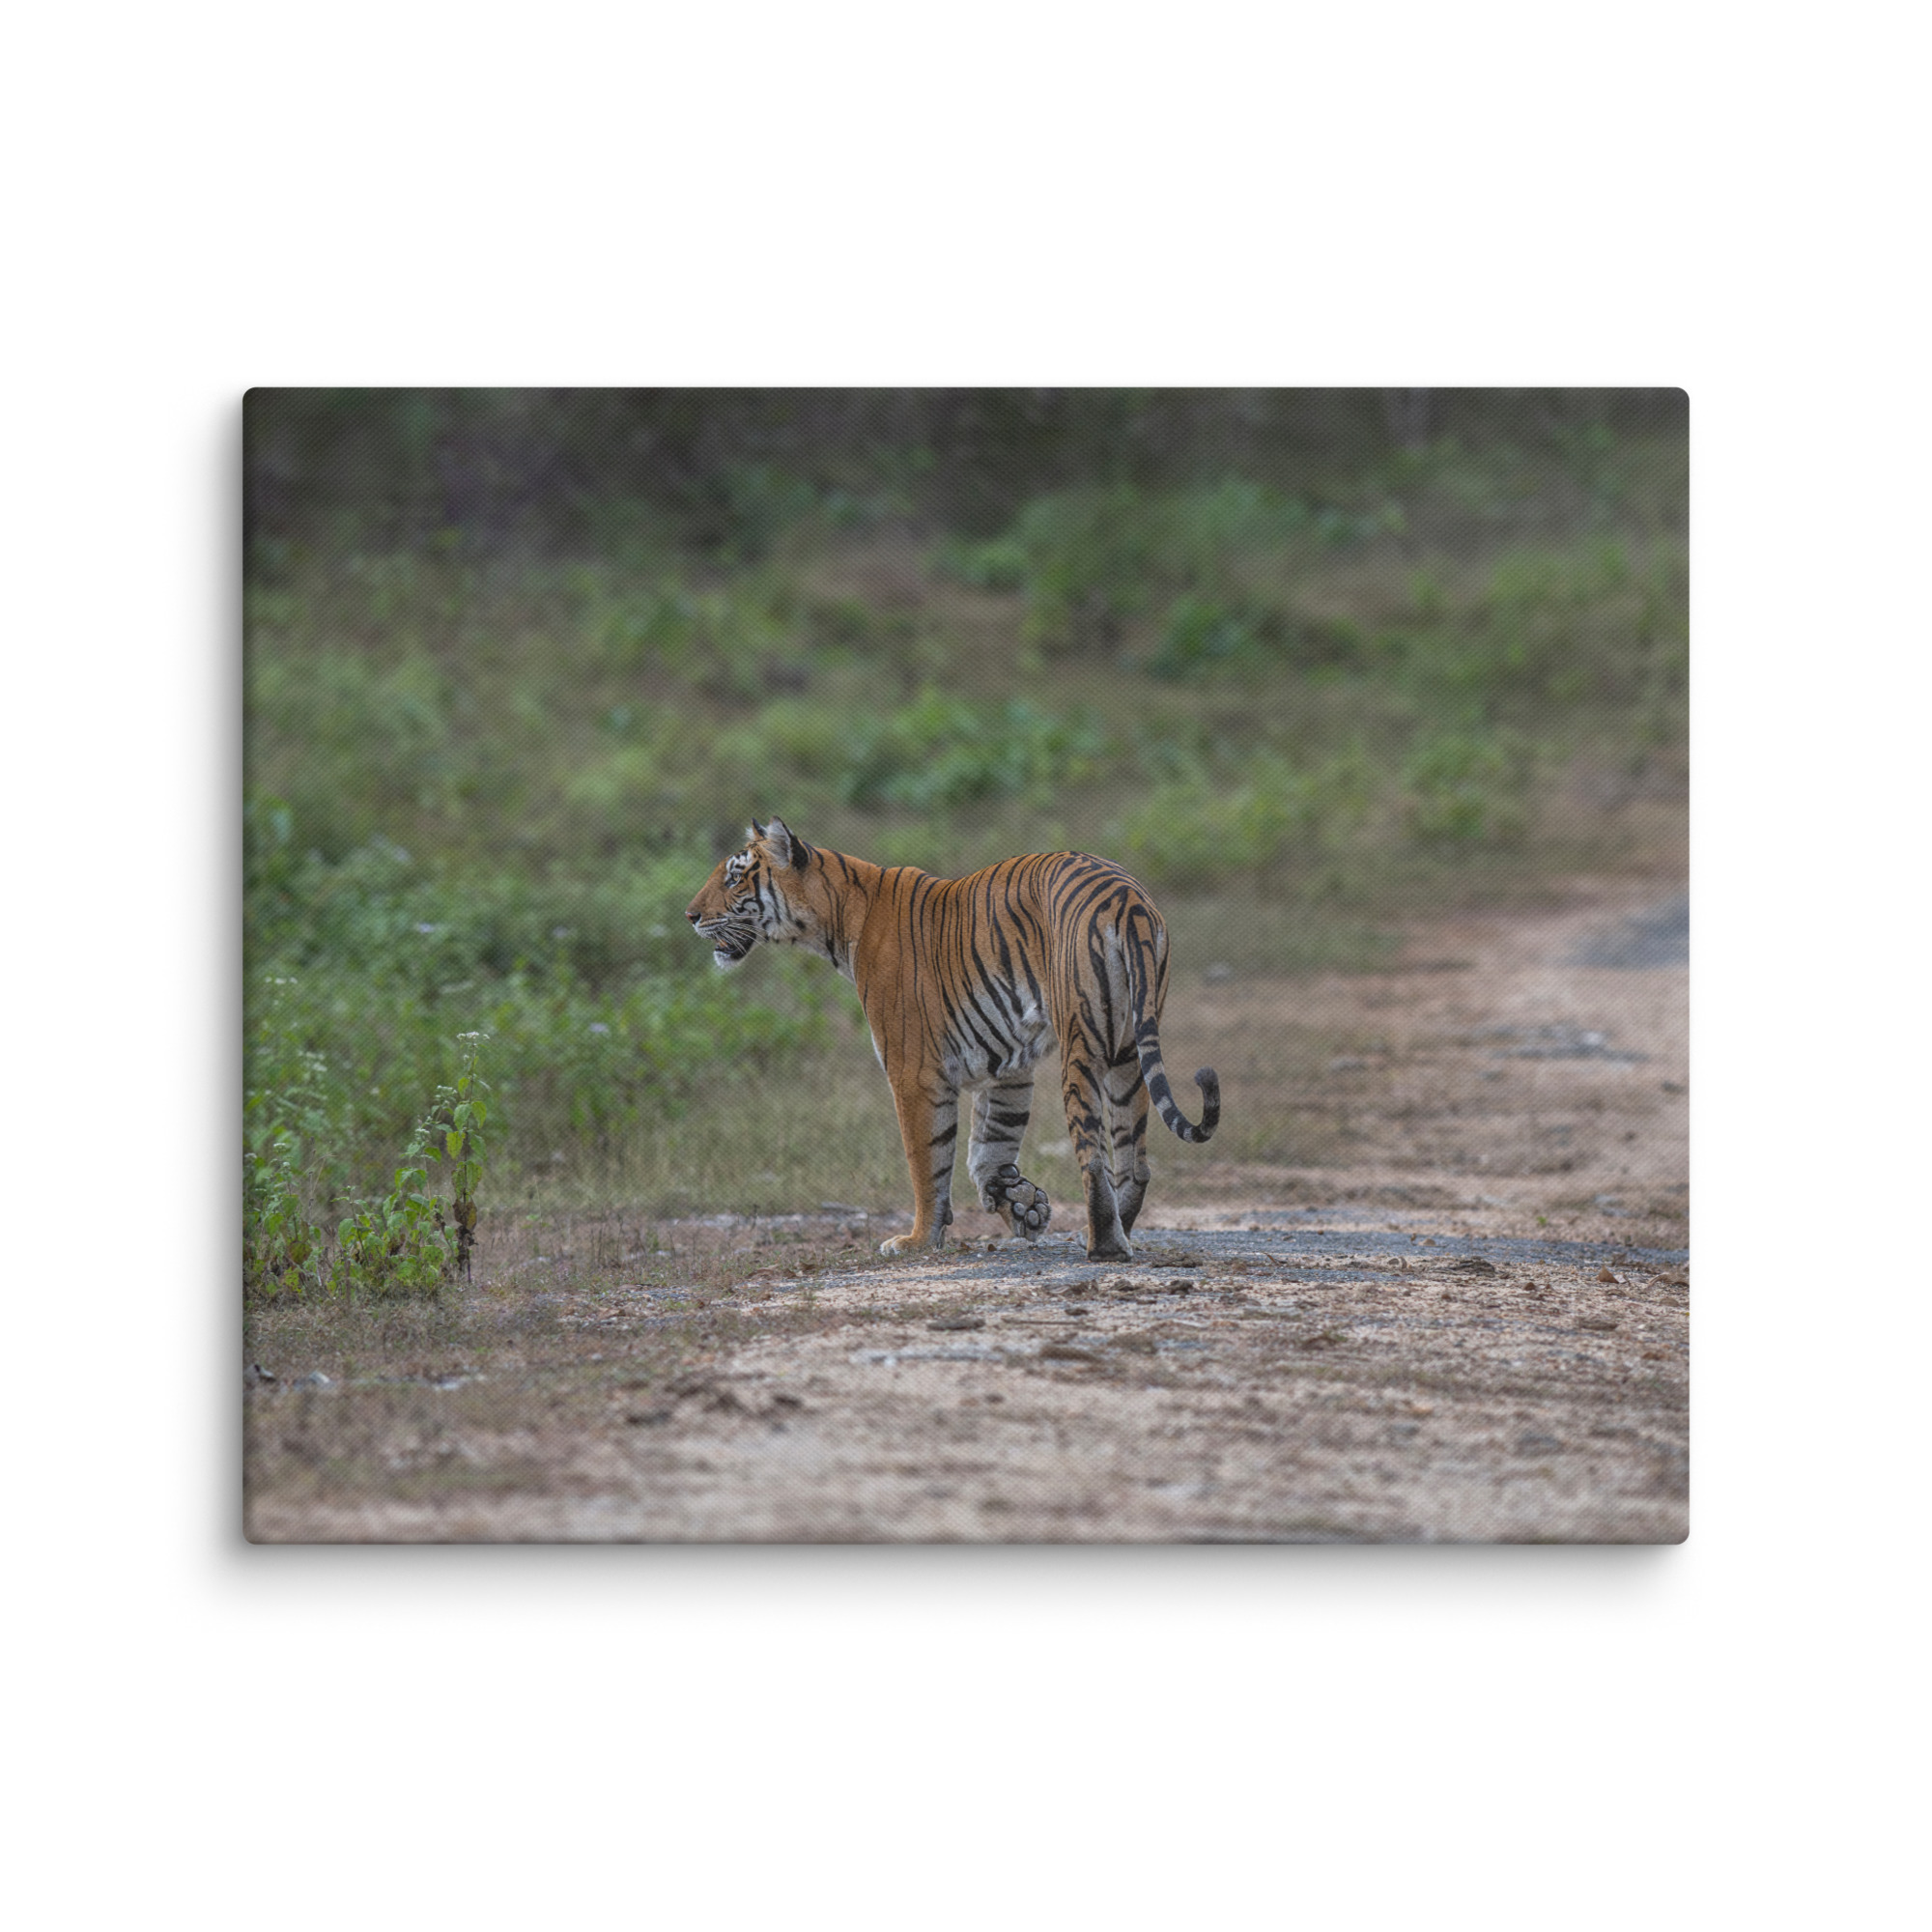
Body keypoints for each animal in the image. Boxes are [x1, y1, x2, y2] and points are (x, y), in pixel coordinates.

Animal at [684, 819, 1219, 1261]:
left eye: (734, 878)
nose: (690, 915)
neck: (837, 917)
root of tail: (1126, 898)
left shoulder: (913, 1070)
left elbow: (927, 1160)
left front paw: (919, 1239)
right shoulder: (1007, 1066)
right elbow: (989, 1146)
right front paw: (1021, 1204)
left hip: (1082, 1044)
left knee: (1093, 1156)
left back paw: (1104, 1245)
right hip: (1128, 1051)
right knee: (1135, 1160)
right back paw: (1119, 1230)